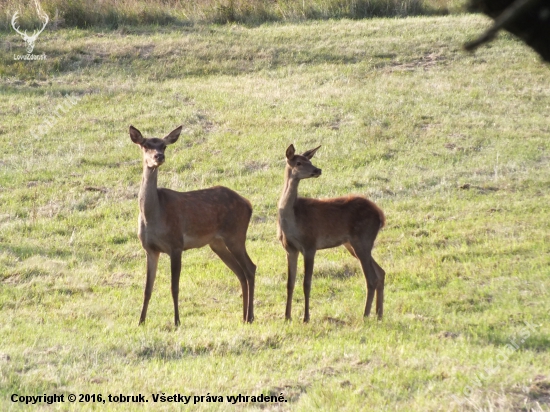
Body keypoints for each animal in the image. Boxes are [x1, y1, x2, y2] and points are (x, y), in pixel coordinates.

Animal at [130, 125, 258, 326]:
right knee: (240, 272)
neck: (153, 215)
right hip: (217, 242)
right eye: (145, 145)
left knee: (250, 268)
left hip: (236, 234)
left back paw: (250, 316)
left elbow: (174, 287)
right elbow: (147, 288)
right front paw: (140, 321)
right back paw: (244, 316)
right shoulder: (150, 249)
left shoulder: (176, 244)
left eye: (164, 146)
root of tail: (248, 204)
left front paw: (177, 322)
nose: (159, 156)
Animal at [278, 145, 386, 322]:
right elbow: (290, 283)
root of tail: (380, 216)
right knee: (381, 272)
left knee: (371, 278)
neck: (293, 220)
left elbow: (306, 283)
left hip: (362, 239)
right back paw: (379, 314)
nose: (317, 170)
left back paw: (365, 315)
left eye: (310, 161)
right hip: (352, 244)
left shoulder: (310, 245)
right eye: (299, 162)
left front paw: (306, 318)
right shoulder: (290, 249)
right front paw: (287, 317)